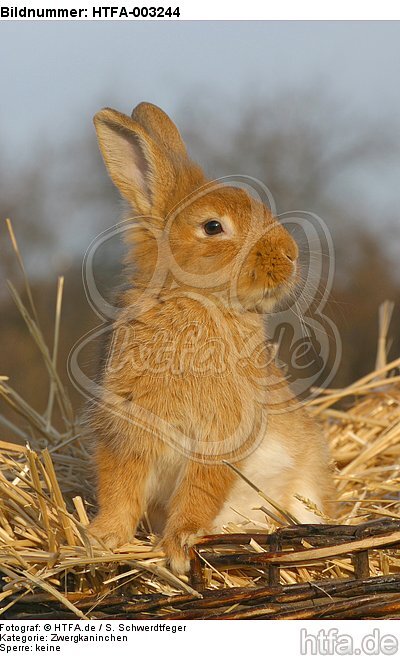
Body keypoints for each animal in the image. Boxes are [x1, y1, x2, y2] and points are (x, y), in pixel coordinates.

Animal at [87, 102, 336, 575]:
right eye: (213, 227)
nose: (291, 255)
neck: (197, 302)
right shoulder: (127, 433)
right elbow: (119, 489)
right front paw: (104, 538)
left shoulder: (219, 440)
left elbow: (198, 494)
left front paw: (179, 548)